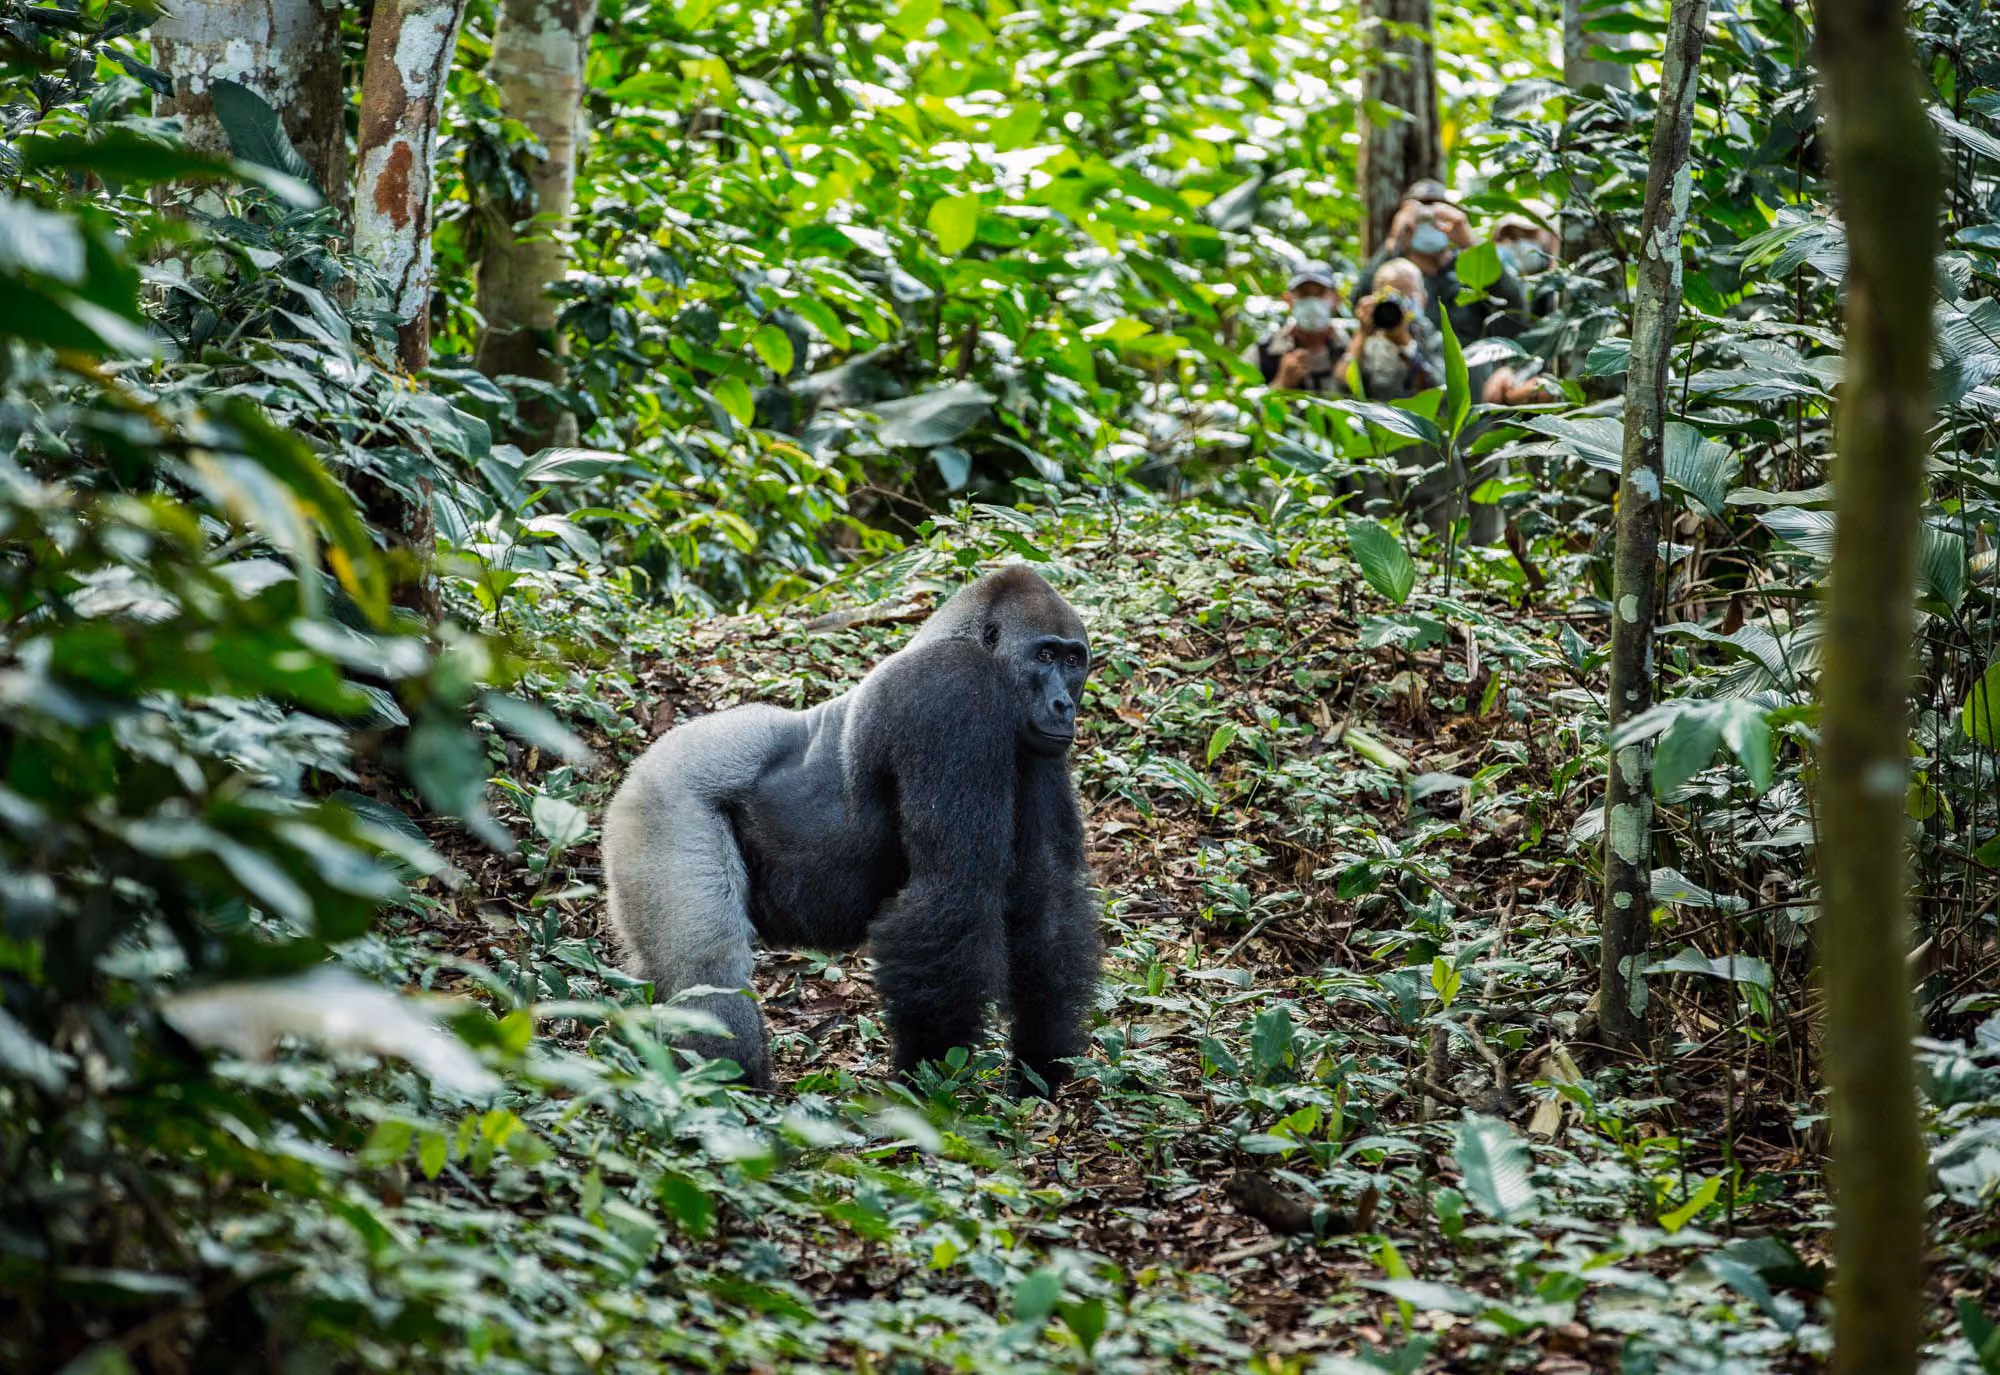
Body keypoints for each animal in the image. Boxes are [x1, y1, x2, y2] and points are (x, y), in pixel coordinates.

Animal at [602, 566, 1101, 1091]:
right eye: (1044, 656)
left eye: (1073, 660)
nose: (1064, 705)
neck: (959, 637)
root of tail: (641, 764)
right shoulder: (953, 691)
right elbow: (953, 889)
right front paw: (929, 1077)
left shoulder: (1036, 747)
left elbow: (1046, 892)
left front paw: (1042, 1061)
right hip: (663, 801)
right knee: (707, 969)